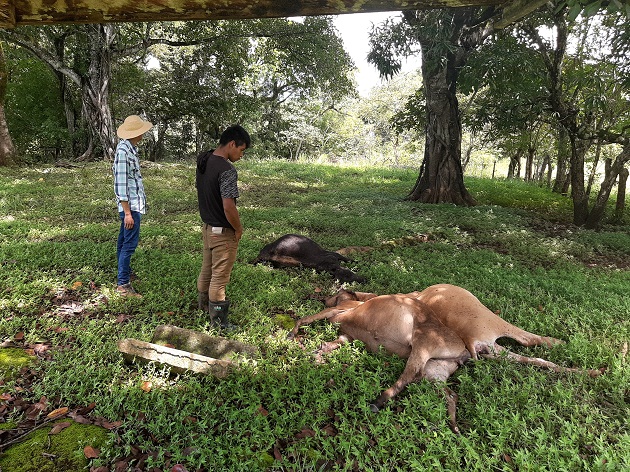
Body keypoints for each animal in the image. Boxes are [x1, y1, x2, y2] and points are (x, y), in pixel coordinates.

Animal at [288, 282, 608, 434]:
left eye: (336, 293)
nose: (323, 295)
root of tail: (468, 349)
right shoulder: (346, 335)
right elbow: (332, 341)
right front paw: (316, 352)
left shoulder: (337, 312)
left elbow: (306, 318)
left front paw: (292, 334)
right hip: (436, 372)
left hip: (423, 346)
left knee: (404, 379)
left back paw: (378, 401)